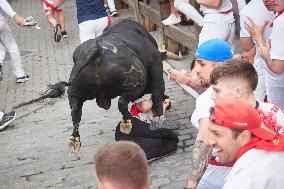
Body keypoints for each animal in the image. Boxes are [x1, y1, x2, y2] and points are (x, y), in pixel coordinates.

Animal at [68, 19, 165, 152]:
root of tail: (98, 51)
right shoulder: (157, 74)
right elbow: (158, 96)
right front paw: (160, 119)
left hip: (75, 91)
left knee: (75, 112)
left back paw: (74, 141)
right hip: (136, 84)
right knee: (122, 102)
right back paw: (127, 122)